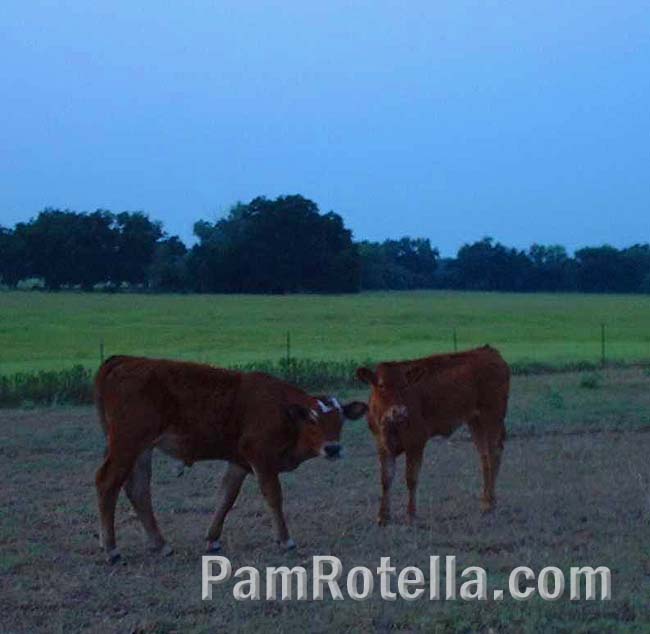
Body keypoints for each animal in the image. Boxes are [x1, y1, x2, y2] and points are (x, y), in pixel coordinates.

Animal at [356, 346, 508, 524]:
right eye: (381, 386)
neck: (390, 425)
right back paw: (485, 501)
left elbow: (411, 478)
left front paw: (411, 514)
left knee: (494, 454)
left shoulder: (416, 441)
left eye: (405, 386)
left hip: (492, 417)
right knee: (484, 458)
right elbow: (386, 479)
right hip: (475, 422)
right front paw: (383, 516)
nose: (400, 411)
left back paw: (490, 503)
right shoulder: (382, 445)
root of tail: (488, 350)